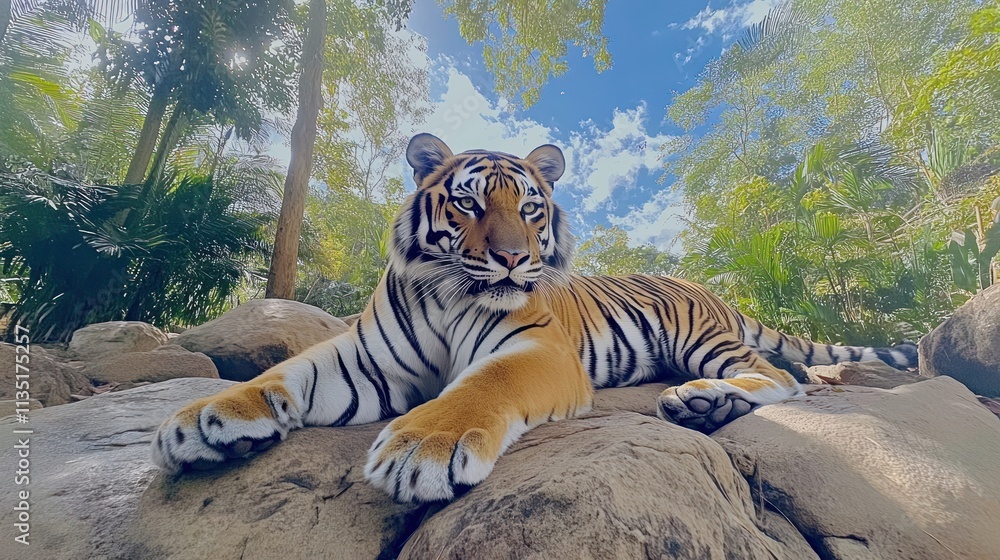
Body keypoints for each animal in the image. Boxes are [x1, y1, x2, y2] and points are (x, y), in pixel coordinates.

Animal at [150, 133, 918, 503]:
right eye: (467, 203)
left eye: (529, 207)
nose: (516, 260)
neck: (448, 292)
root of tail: (708, 288)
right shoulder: (364, 360)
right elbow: (285, 372)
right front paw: (205, 418)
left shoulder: (535, 352)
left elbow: (477, 390)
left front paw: (421, 449)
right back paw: (704, 409)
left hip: (703, 339)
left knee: (781, 377)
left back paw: (704, 398)